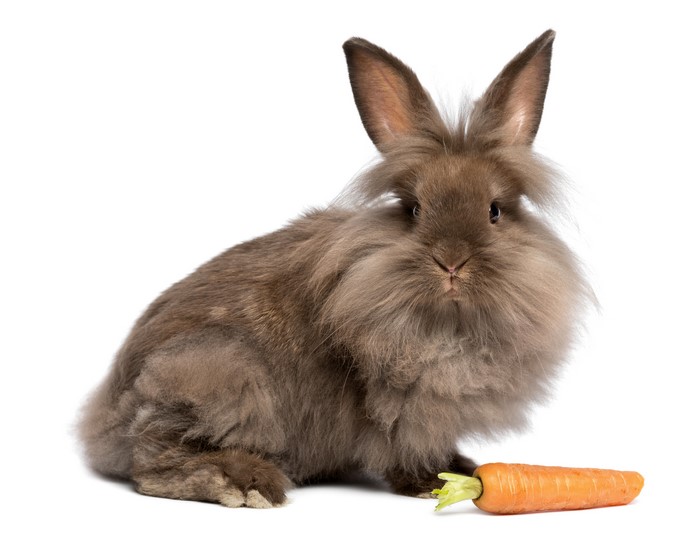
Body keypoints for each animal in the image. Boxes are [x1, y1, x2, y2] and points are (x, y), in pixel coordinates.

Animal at [78, 29, 591, 508]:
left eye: (495, 211)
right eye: (414, 209)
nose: (451, 261)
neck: (449, 323)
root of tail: (102, 424)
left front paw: (461, 469)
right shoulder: (402, 404)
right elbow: (401, 445)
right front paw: (431, 483)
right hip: (215, 373)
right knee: (153, 463)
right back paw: (247, 483)